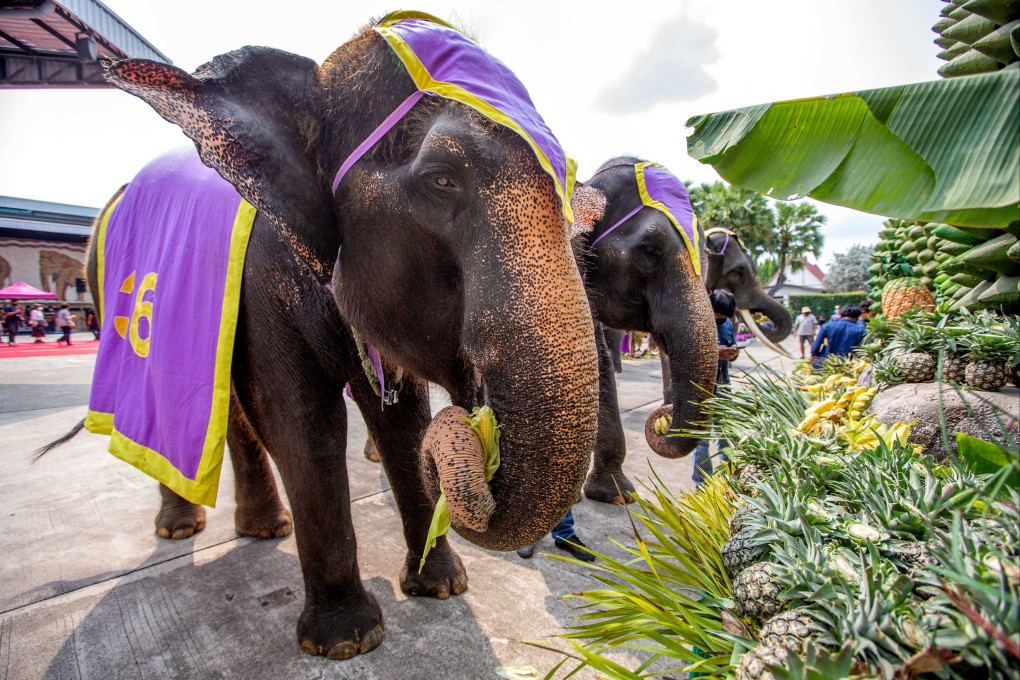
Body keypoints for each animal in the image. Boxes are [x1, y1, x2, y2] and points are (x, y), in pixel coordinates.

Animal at [78, 15, 601, 661]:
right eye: (441, 179)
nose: (478, 430)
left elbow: (401, 422)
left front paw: (442, 587)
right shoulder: (262, 285)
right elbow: (303, 424)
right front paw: (348, 640)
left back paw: (264, 529)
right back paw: (182, 528)